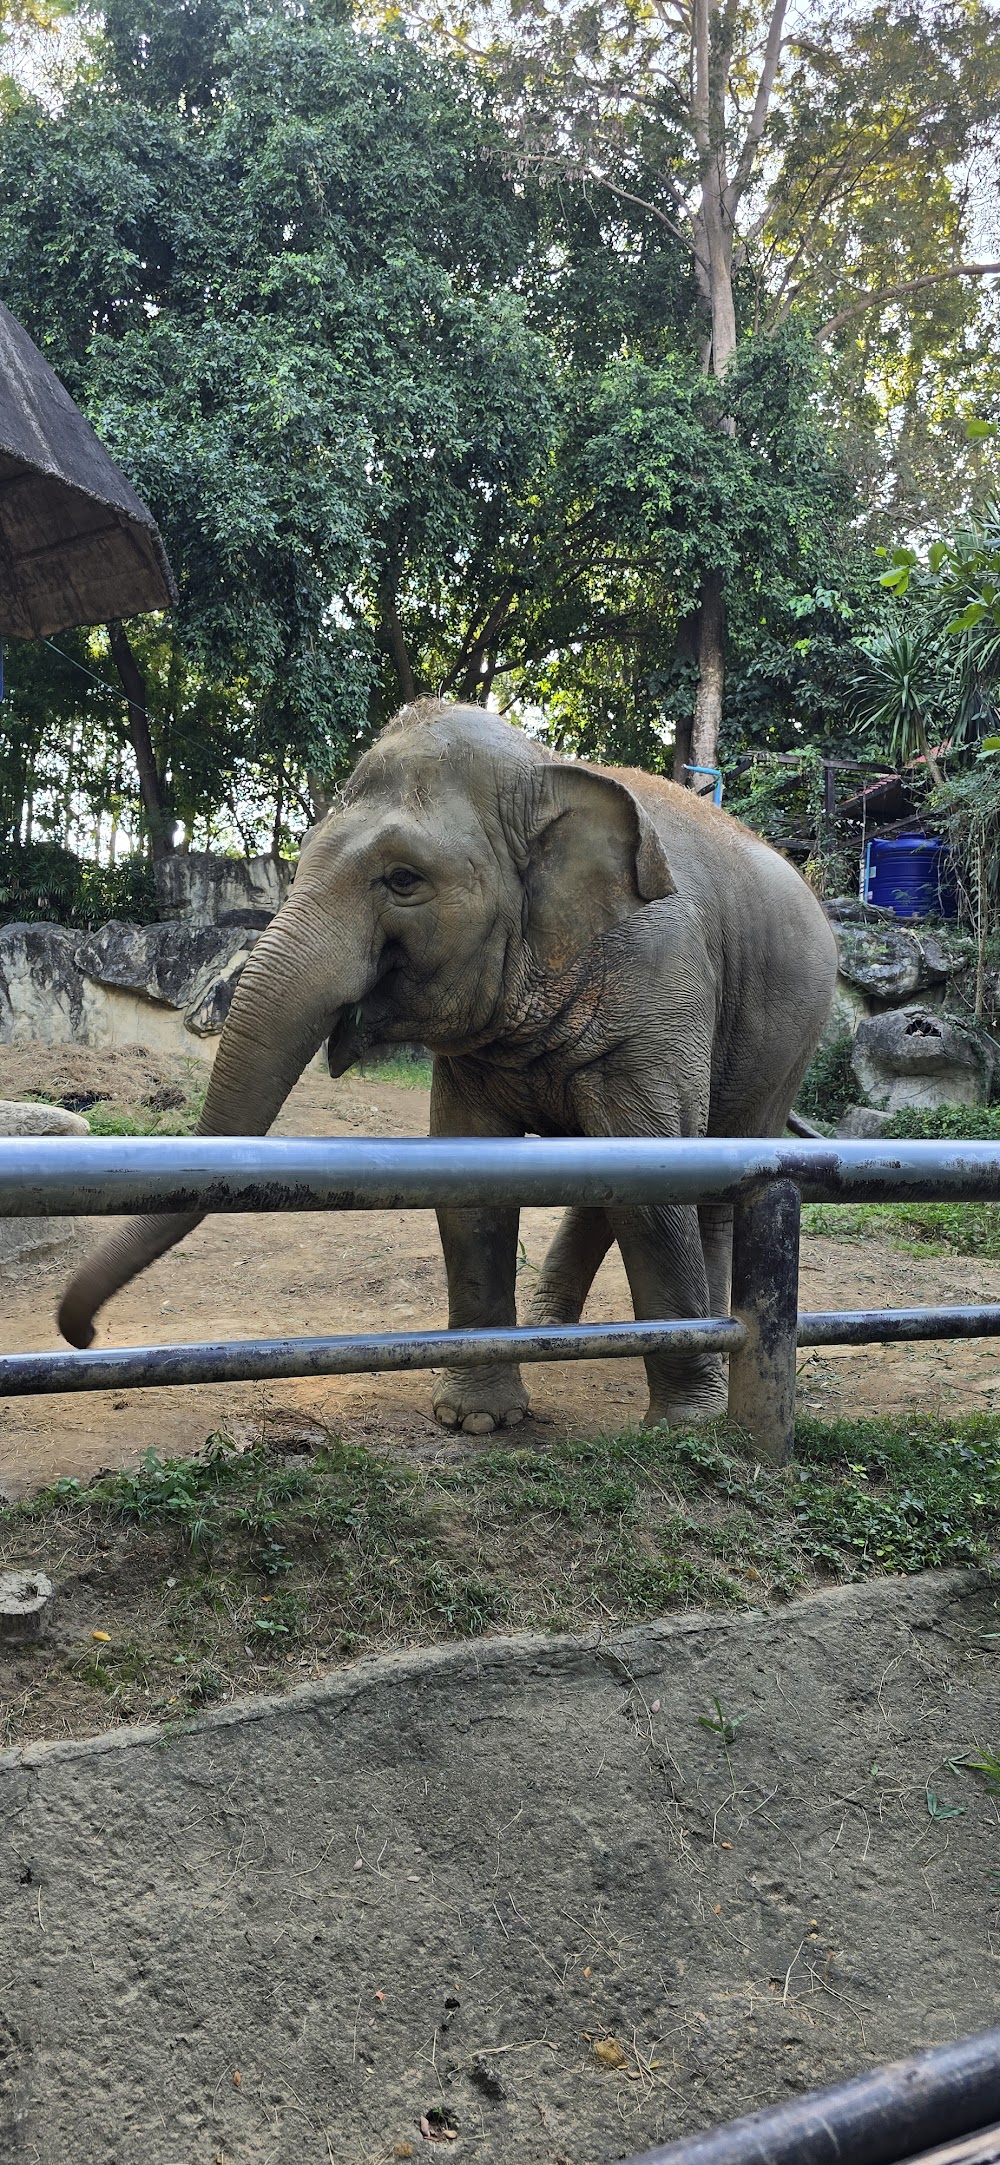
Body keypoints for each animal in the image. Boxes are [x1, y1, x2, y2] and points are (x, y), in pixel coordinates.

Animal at [54, 701, 835, 1428]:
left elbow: (655, 1182)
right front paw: (477, 1418)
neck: (542, 769)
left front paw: (684, 1424)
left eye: (402, 879)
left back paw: (710, 1338)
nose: (83, 1335)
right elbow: (473, 1181)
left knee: (718, 1172)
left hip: (788, 1038)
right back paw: (554, 1330)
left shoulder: (661, 984)